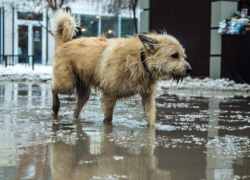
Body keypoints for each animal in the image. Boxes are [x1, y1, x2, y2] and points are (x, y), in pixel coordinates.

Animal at [51, 10, 191, 128]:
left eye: (183, 56)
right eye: (174, 55)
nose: (189, 69)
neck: (140, 61)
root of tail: (65, 42)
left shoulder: (147, 96)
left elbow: (151, 119)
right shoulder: (110, 95)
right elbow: (108, 118)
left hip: (84, 92)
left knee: (76, 110)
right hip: (66, 83)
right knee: (53, 88)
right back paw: (55, 107)